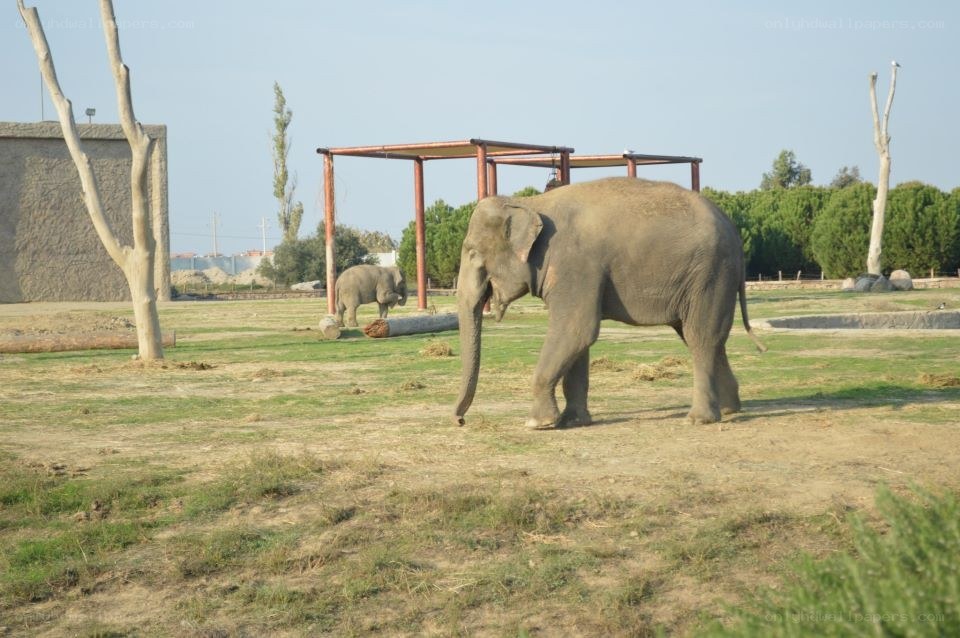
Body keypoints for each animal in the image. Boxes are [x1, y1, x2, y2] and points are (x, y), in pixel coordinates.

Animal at [453, 177, 765, 429]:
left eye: (472, 253)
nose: (460, 420)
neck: (529, 202)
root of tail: (733, 231)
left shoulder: (575, 266)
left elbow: (576, 330)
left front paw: (538, 424)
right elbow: (578, 341)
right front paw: (573, 422)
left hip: (710, 274)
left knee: (700, 337)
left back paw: (698, 419)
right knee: (708, 338)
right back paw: (729, 409)